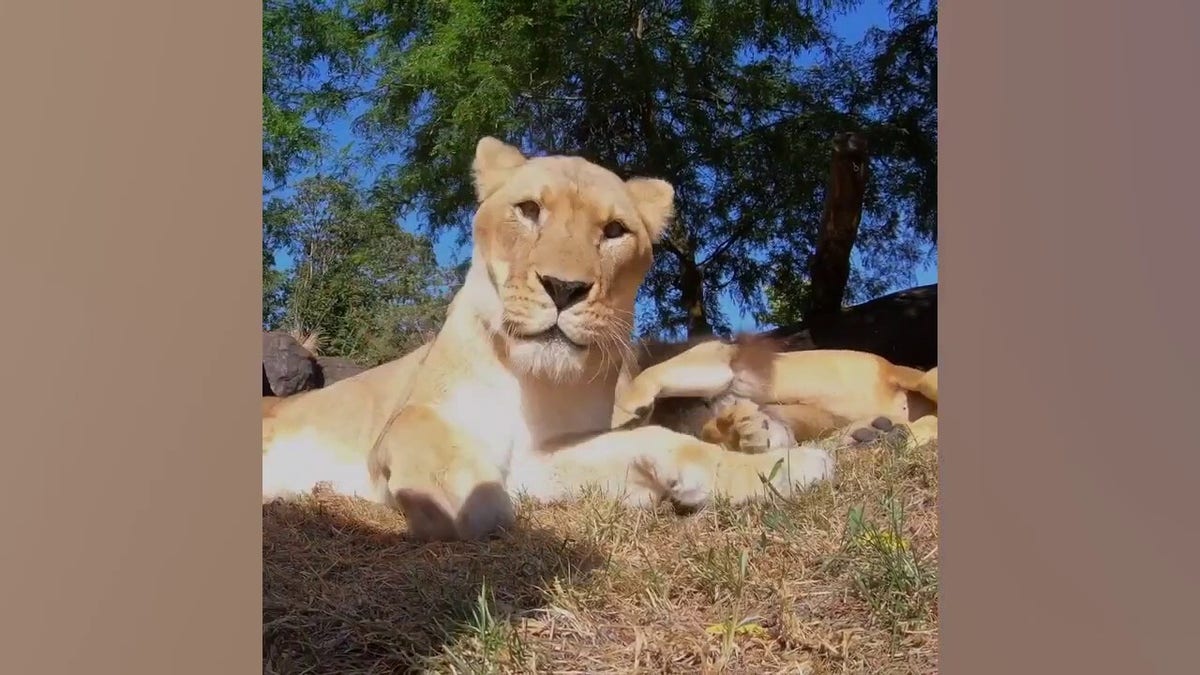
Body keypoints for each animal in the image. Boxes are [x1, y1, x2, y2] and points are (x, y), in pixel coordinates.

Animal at [261, 137, 835, 541]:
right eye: (530, 210)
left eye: (615, 230)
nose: (564, 288)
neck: (528, 380)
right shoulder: (406, 427)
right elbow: (424, 431)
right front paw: (466, 498)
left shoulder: (543, 457)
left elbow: (660, 438)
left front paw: (777, 468)